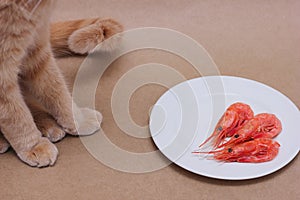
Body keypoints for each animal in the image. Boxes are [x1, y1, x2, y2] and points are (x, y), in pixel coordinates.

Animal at [0, 0, 123, 167]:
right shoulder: (3, 73)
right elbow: (15, 116)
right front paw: (34, 145)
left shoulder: (37, 51)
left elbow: (55, 87)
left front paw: (78, 120)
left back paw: (48, 125)